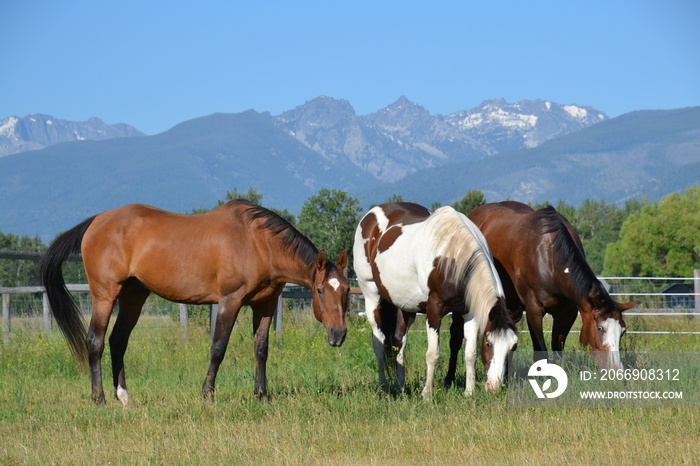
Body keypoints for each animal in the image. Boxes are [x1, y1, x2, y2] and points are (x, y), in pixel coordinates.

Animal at [39, 200, 348, 404]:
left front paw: (261, 395)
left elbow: (261, 349)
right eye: (320, 290)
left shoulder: (266, 305)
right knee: (95, 341)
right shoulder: (230, 301)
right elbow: (218, 348)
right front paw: (208, 394)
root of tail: (96, 221)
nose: (338, 335)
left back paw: (124, 396)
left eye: (346, 290)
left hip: (133, 296)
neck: (258, 243)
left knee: (118, 341)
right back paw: (99, 398)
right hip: (105, 294)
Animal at [352, 200, 516, 396]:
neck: (452, 256)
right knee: (378, 343)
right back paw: (383, 388)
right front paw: (427, 394)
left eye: (513, 346)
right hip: (371, 295)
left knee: (399, 343)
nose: (495, 386)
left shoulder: (470, 313)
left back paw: (401, 387)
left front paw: (469, 392)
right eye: (489, 343)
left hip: (406, 307)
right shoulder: (434, 310)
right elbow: (433, 354)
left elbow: (470, 353)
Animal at [446, 201, 636, 386]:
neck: (550, 257)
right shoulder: (534, 310)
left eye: (623, 331)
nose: (616, 372)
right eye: (600, 328)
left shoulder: (566, 313)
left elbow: (557, 350)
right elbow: (541, 350)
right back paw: (449, 380)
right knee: (455, 338)